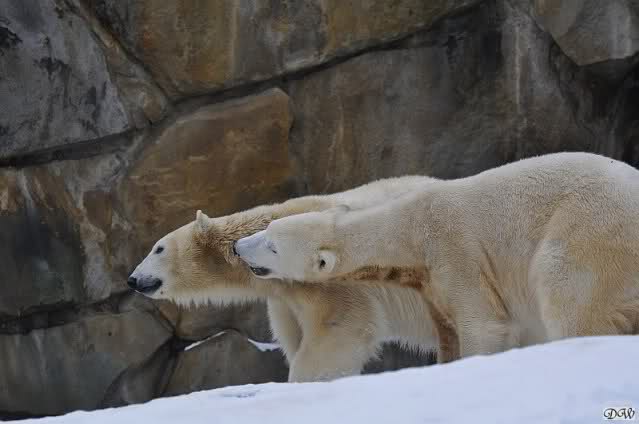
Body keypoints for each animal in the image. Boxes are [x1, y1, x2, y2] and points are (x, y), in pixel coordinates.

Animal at [128, 175, 447, 382]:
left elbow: (341, 327)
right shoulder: (284, 297)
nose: (132, 279)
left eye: (158, 248)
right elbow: (294, 335)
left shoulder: (327, 278)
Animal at [234, 152, 639, 360]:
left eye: (271, 244)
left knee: (567, 297)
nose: (237, 247)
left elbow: (484, 325)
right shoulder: (430, 286)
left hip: (590, 231)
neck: (410, 227)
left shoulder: (455, 249)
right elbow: (448, 333)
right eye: (265, 229)